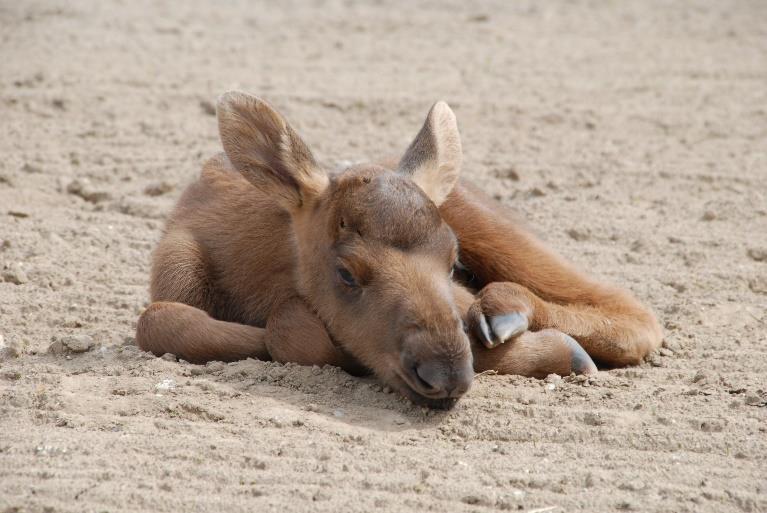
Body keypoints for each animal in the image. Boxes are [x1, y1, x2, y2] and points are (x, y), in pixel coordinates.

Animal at [135, 92, 664, 408]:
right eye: (346, 273)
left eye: (453, 261)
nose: (445, 372)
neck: (257, 275)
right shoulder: (176, 270)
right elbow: (163, 321)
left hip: (492, 225)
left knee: (630, 308)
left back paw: (508, 308)